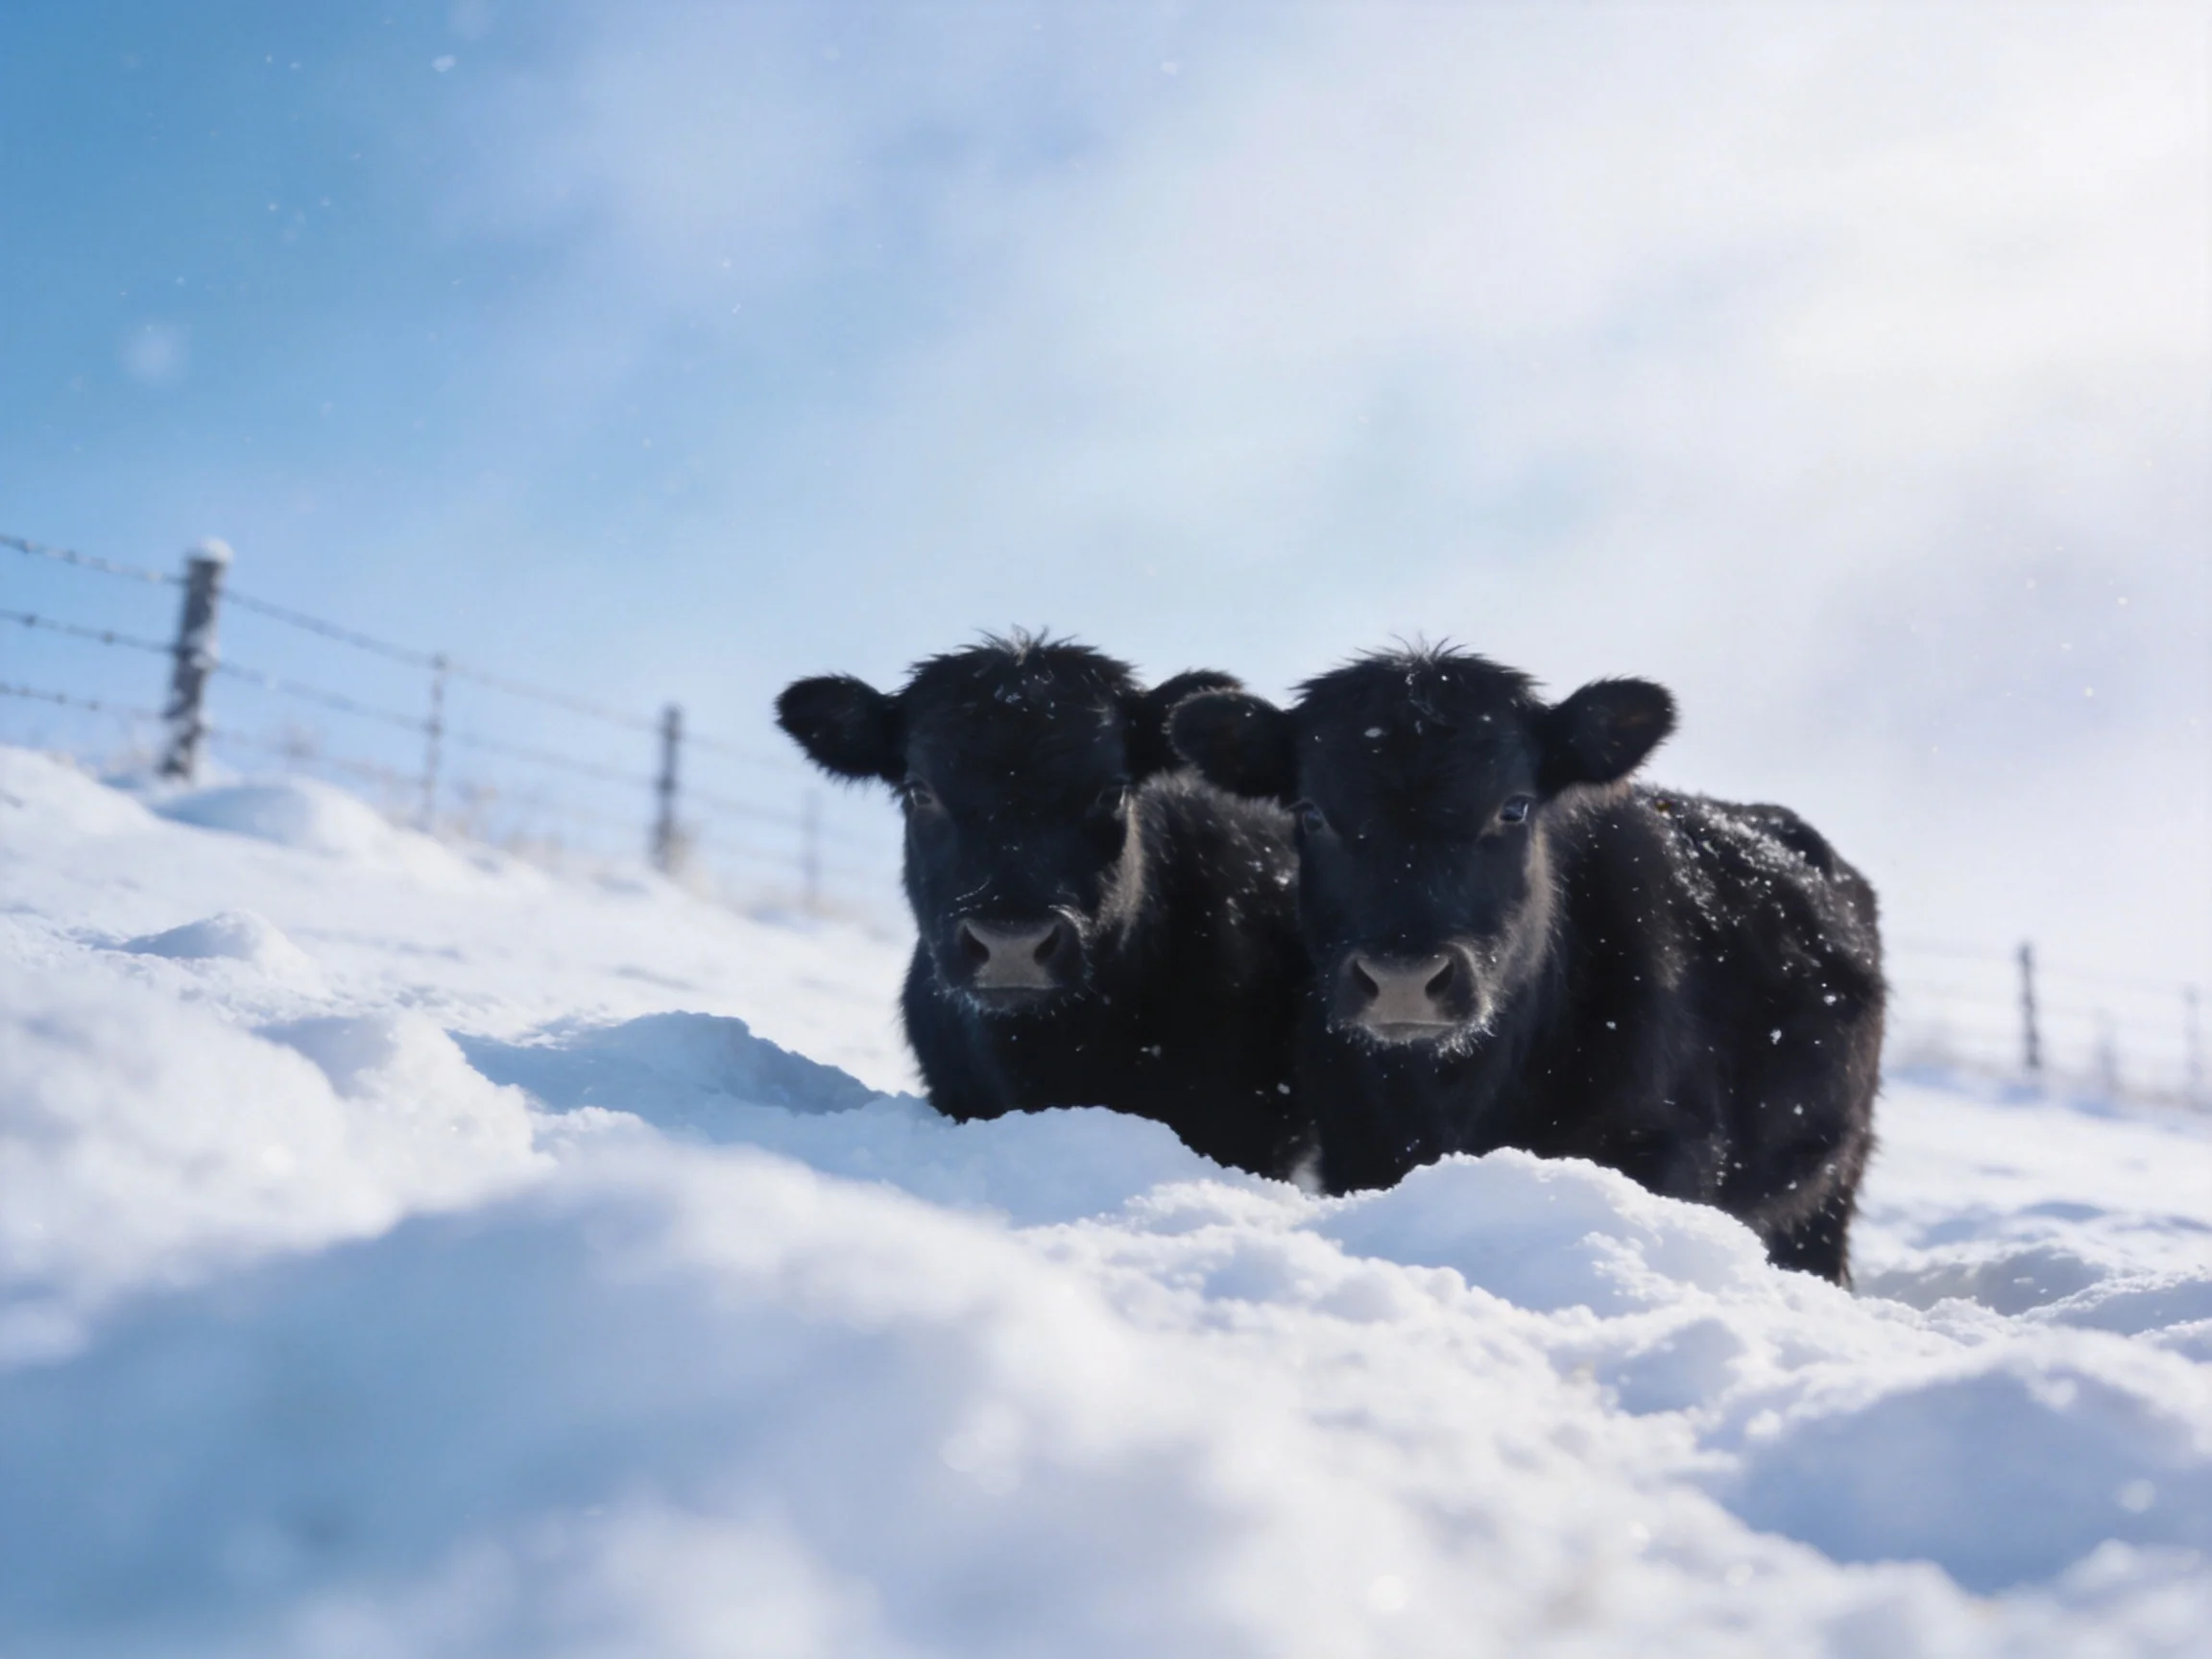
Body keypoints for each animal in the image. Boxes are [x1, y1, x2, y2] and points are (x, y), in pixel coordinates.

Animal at [1168, 645, 1883, 1282]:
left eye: (1512, 807)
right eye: (1311, 812)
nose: (1404, 979)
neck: (1454, 1098)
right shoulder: (1354, 1150)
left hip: (1827, 1192)